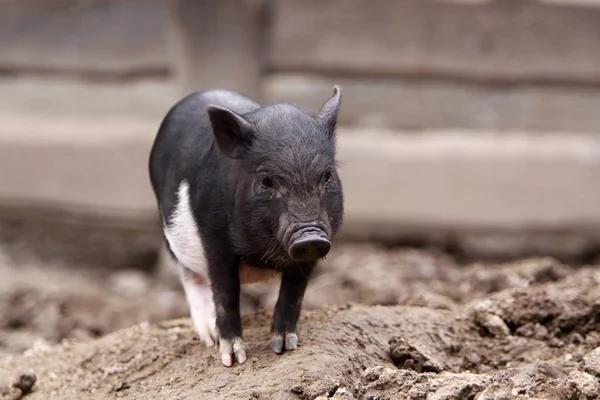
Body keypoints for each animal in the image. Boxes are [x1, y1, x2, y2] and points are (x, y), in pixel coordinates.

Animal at [148, 86, 344, 368]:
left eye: (327, 176)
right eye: (266, 181)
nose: (309, 236)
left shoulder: (316, 247)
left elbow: (294, 292)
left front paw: (285, 346)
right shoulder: (214, 240)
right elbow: (225, 294)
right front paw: (233, 358)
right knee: (190, 277)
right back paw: (209, 337)